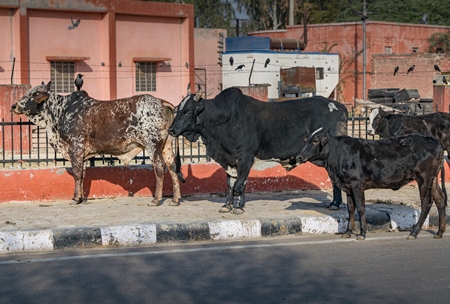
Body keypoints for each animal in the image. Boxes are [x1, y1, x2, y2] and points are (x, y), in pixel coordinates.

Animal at [12, 81, 185, 204]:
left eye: (34, 94)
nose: (14, 106)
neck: (60, 111)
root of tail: (161, 101)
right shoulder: (82, 154)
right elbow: (82, 175)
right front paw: (80, 197)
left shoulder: (75, 149)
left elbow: (77, 173)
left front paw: (76, 198)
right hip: (166, 145)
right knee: (172, 167)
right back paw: (175, 200)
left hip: (152, 144)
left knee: (159, 167)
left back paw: (156, 199)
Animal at [169, 86, 348, 213]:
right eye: (178, 109)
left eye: (188, 111)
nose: (171, 130)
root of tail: (340, 106)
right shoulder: (230, 160)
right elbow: (230, 184)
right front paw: (227, 205)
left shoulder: (245, 157)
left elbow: (239, 184)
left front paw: (239, 207)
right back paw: (334, 203)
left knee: (335, 180)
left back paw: (335, 204)